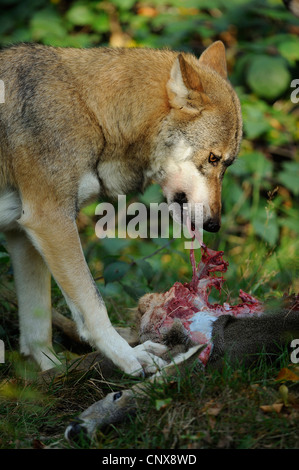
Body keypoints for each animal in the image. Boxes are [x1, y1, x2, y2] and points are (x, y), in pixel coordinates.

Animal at [0, 39, 243, 374]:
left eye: (227, 164)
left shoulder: (22, 234)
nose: (214, 225)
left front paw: (52, 374)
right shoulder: (50, 220)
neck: (90, 110)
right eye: (213, 158)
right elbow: (94, 305)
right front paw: (130, 357)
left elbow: (37, 329)